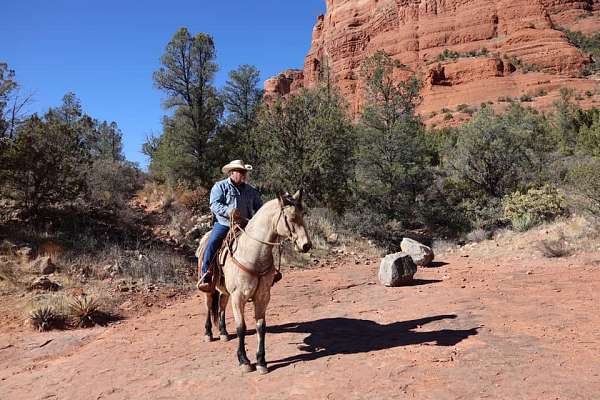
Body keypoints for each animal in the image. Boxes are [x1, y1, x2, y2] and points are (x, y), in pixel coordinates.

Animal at [196, 189, 312, 374]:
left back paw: (223, 332)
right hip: (209, 287)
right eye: (290, 218)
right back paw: (208, 333)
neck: (252, 254)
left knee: (221, 306)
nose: (306, 245)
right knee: (208, 306)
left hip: (225, 291)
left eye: (303, 214)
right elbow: (241, 327)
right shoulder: (238, 297)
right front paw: (244, 360)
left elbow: (261, 326)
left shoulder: (262, 296)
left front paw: (261, 361)